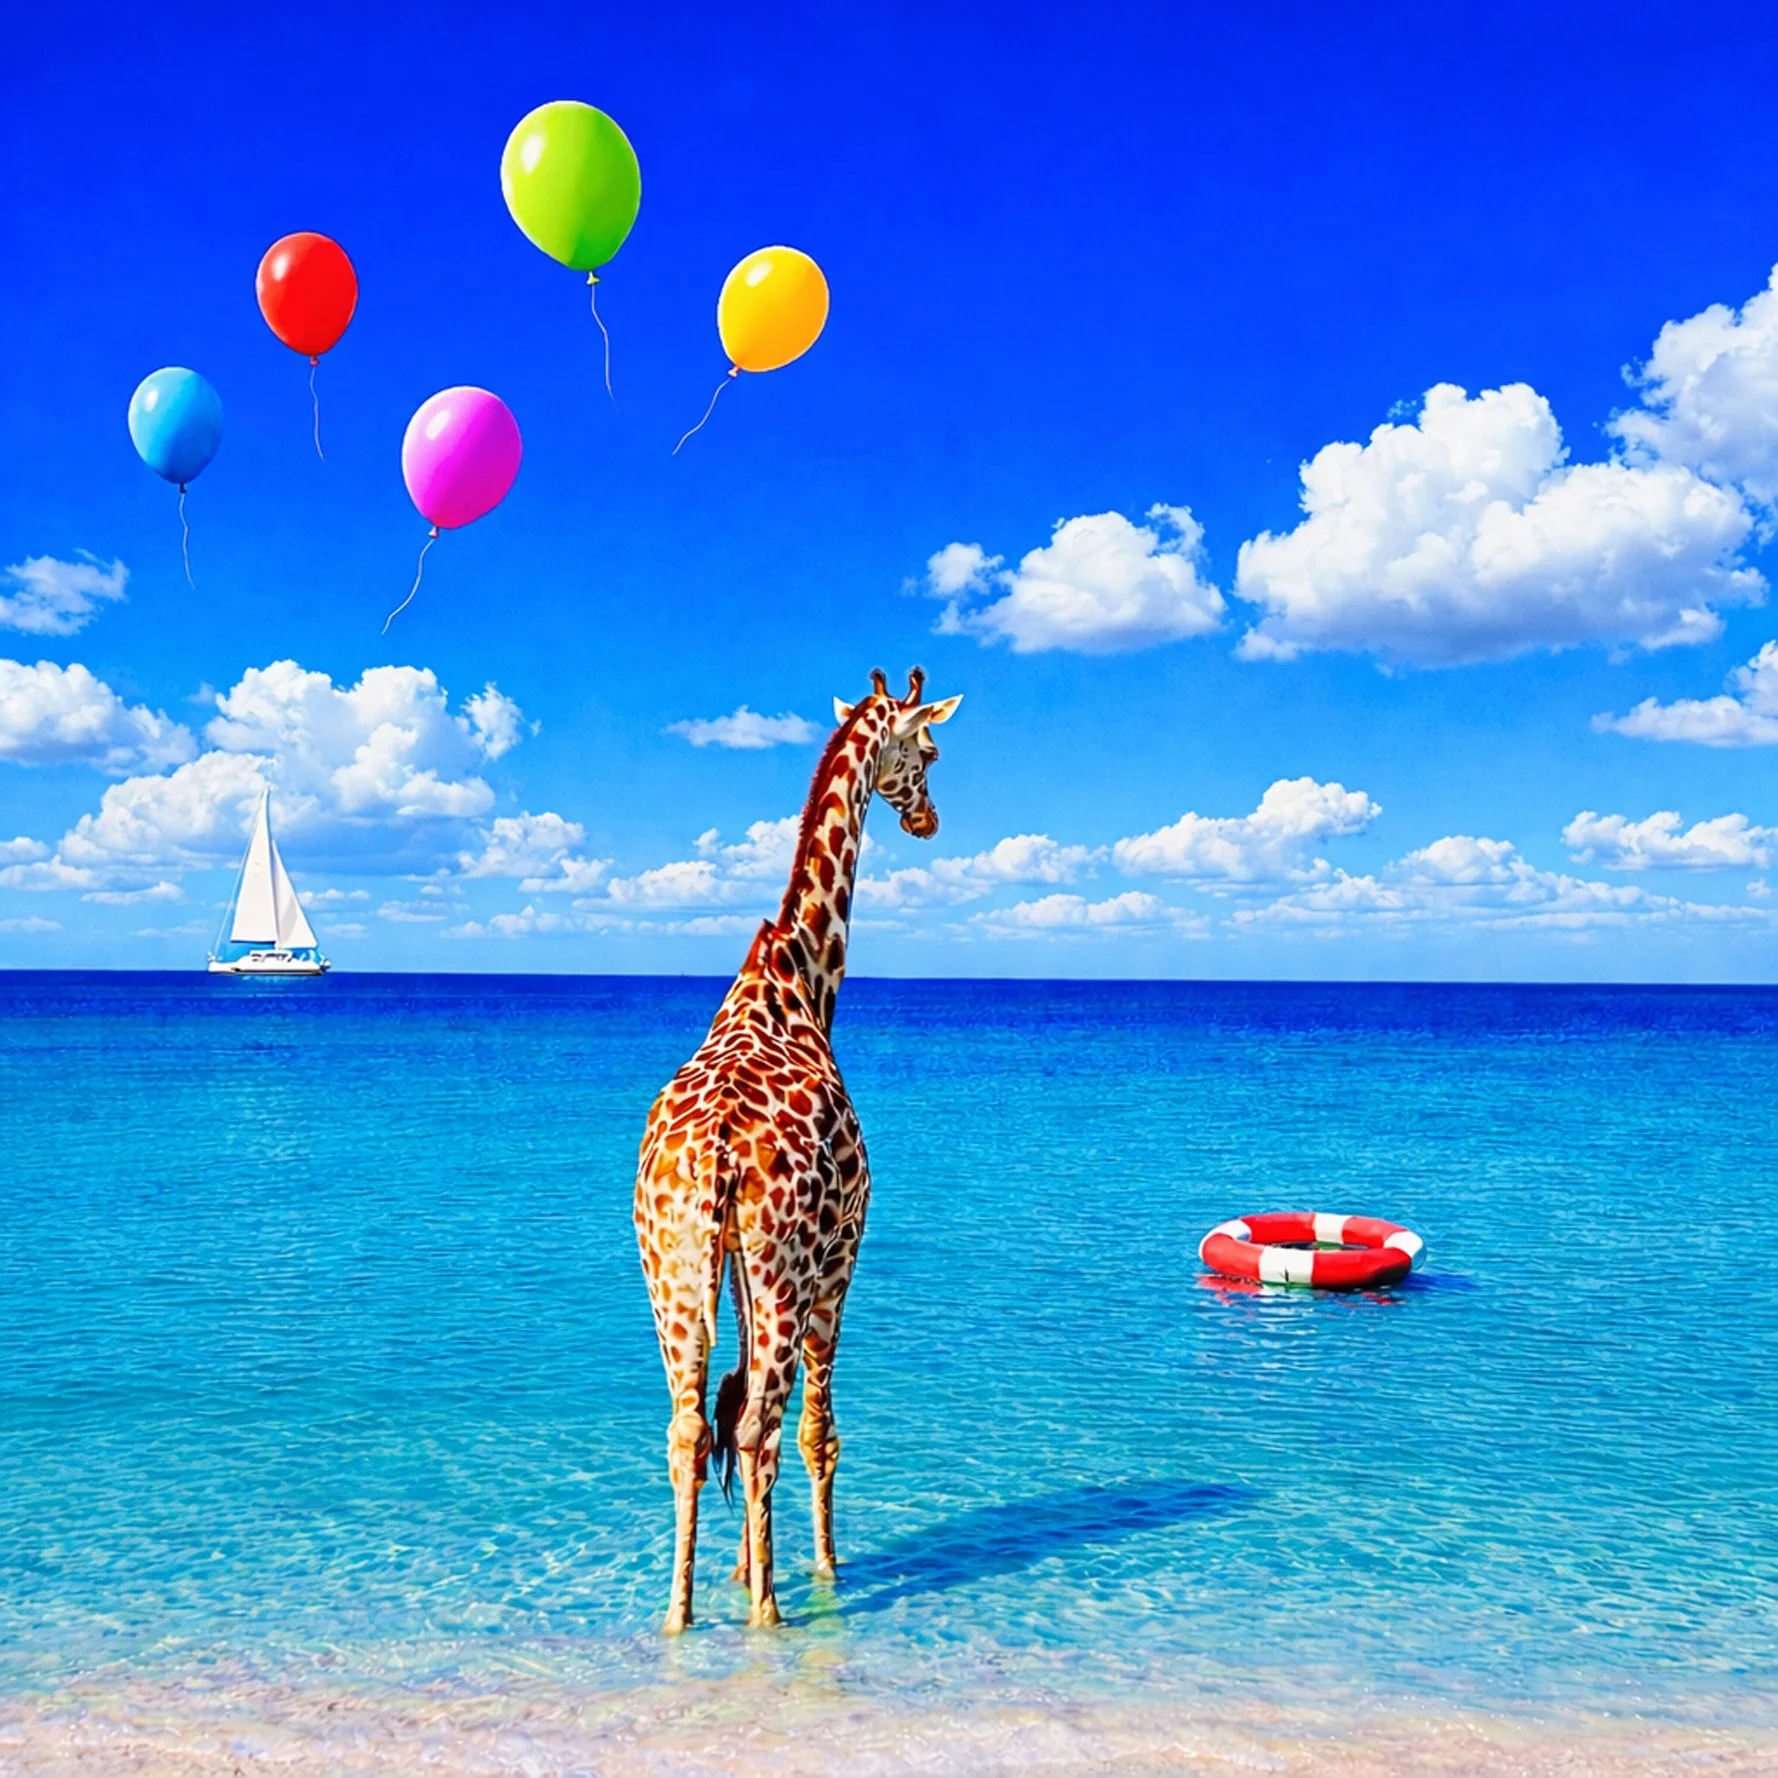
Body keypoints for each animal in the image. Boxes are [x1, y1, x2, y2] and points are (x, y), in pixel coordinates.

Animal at [633, 667, 961, 1633]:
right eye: (930, 750)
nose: (929, 820)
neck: (806, 977)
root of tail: (713, 1153)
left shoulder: (731, 1265)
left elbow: (736, 1399)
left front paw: (741, 1567)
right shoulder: (843, 1253)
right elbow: (818, 1430)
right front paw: (819, 1565)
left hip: (670, 1273)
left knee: (691, 1427)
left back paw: (682, 1613)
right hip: (783, 1272)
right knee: (756, 1427)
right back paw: (772, 1612)